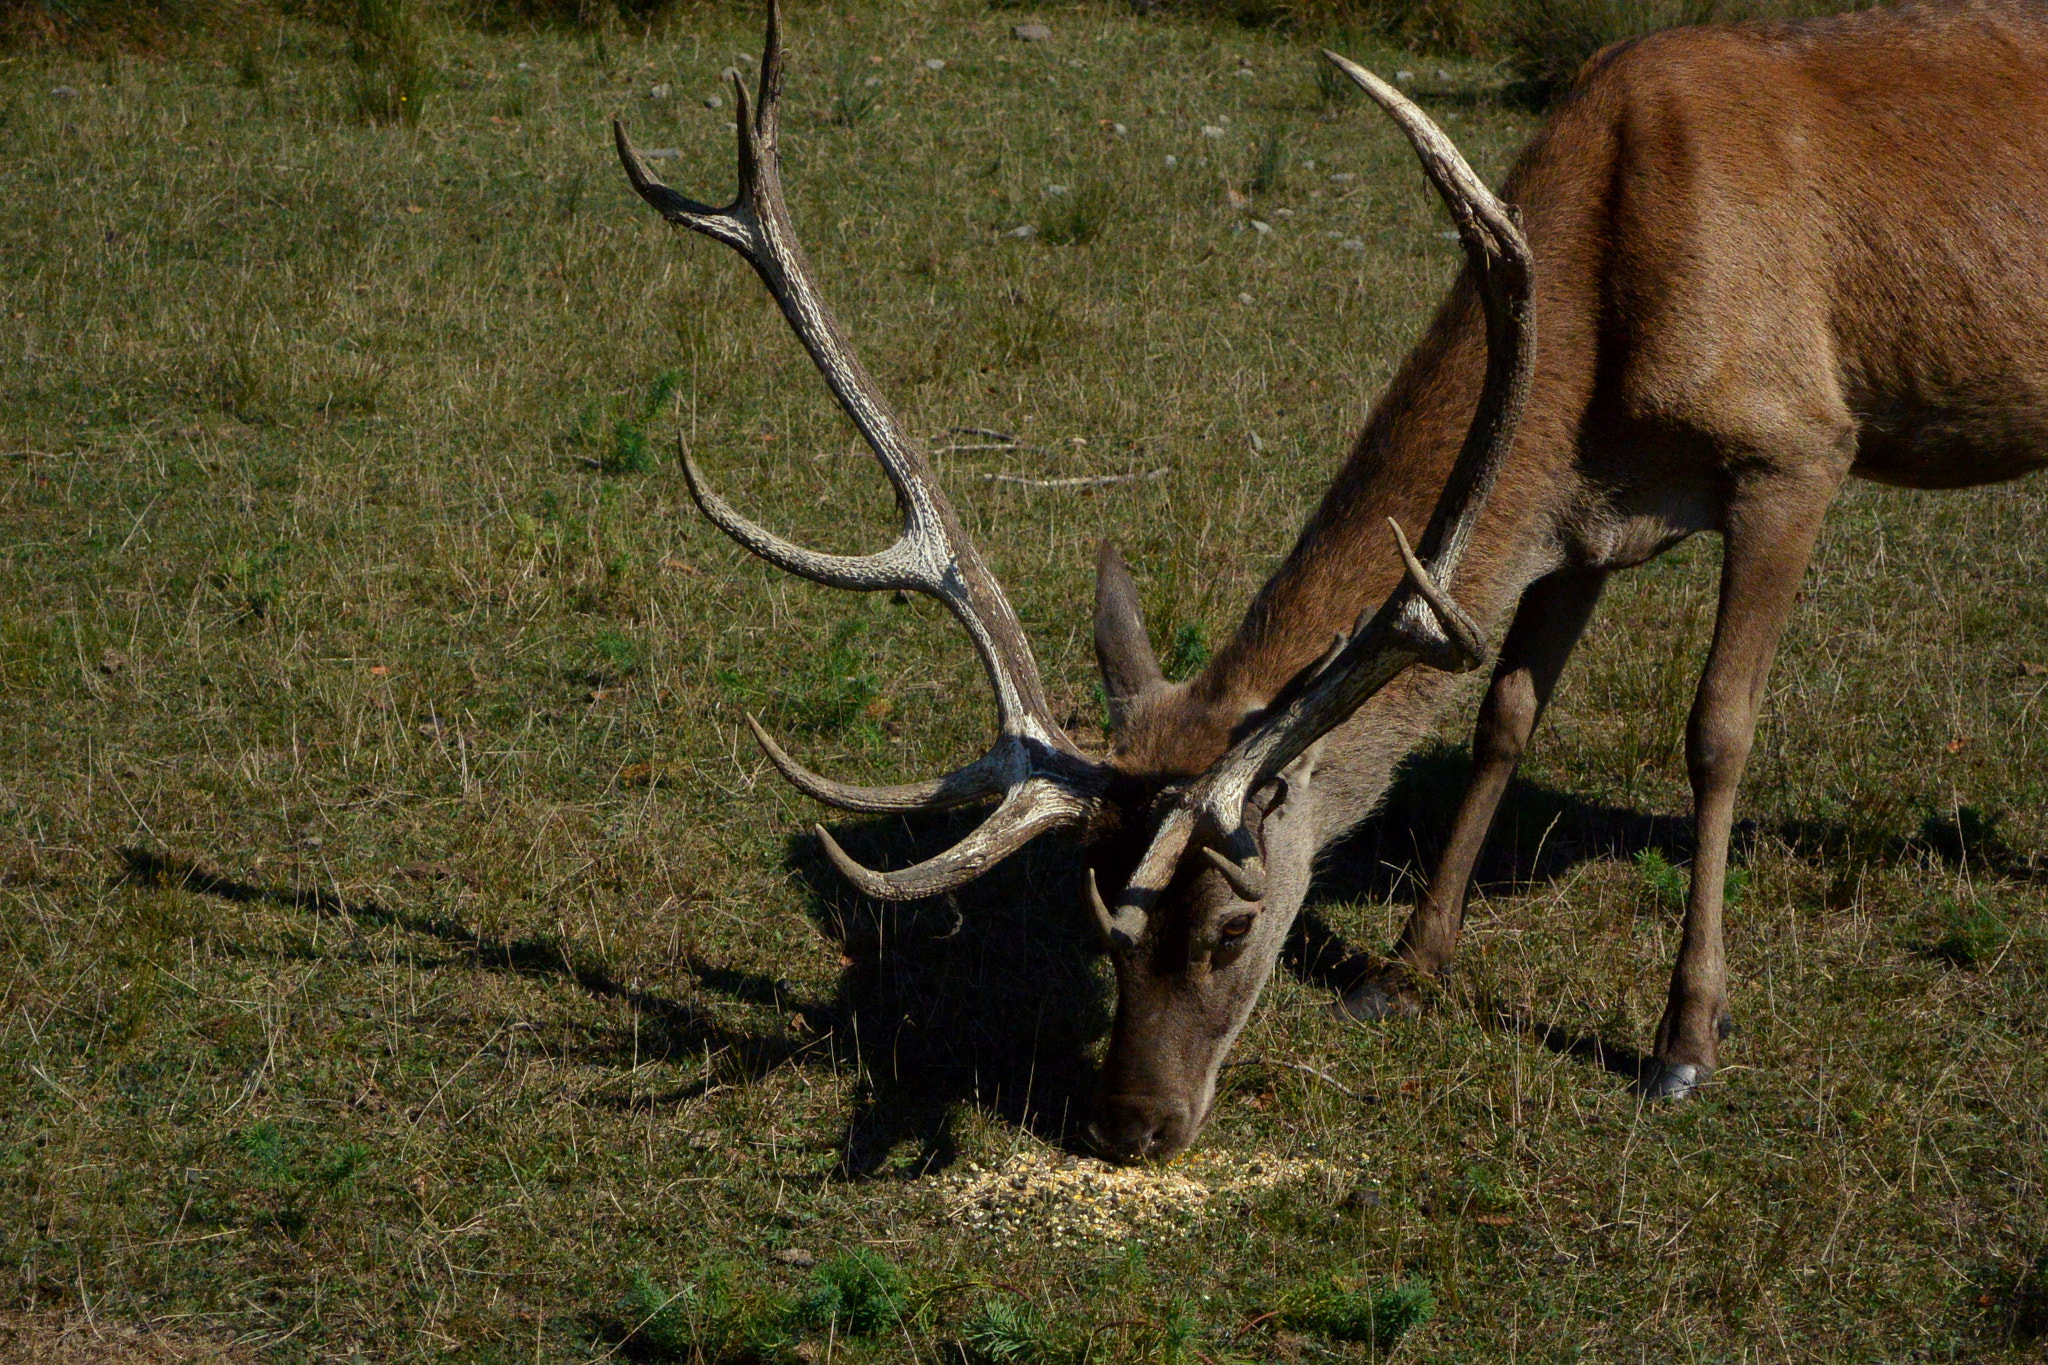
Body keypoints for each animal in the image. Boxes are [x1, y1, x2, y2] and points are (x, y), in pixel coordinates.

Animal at [615, 0, 2048, 1163]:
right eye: (1099, 922)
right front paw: (1403, 970)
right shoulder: (1579, 526)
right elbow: (1500, 716)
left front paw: (1681, 1040)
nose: (1126, 1126)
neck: (1606, 328)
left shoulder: (1794, 451)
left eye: (1229, 928)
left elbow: (1715, 733)